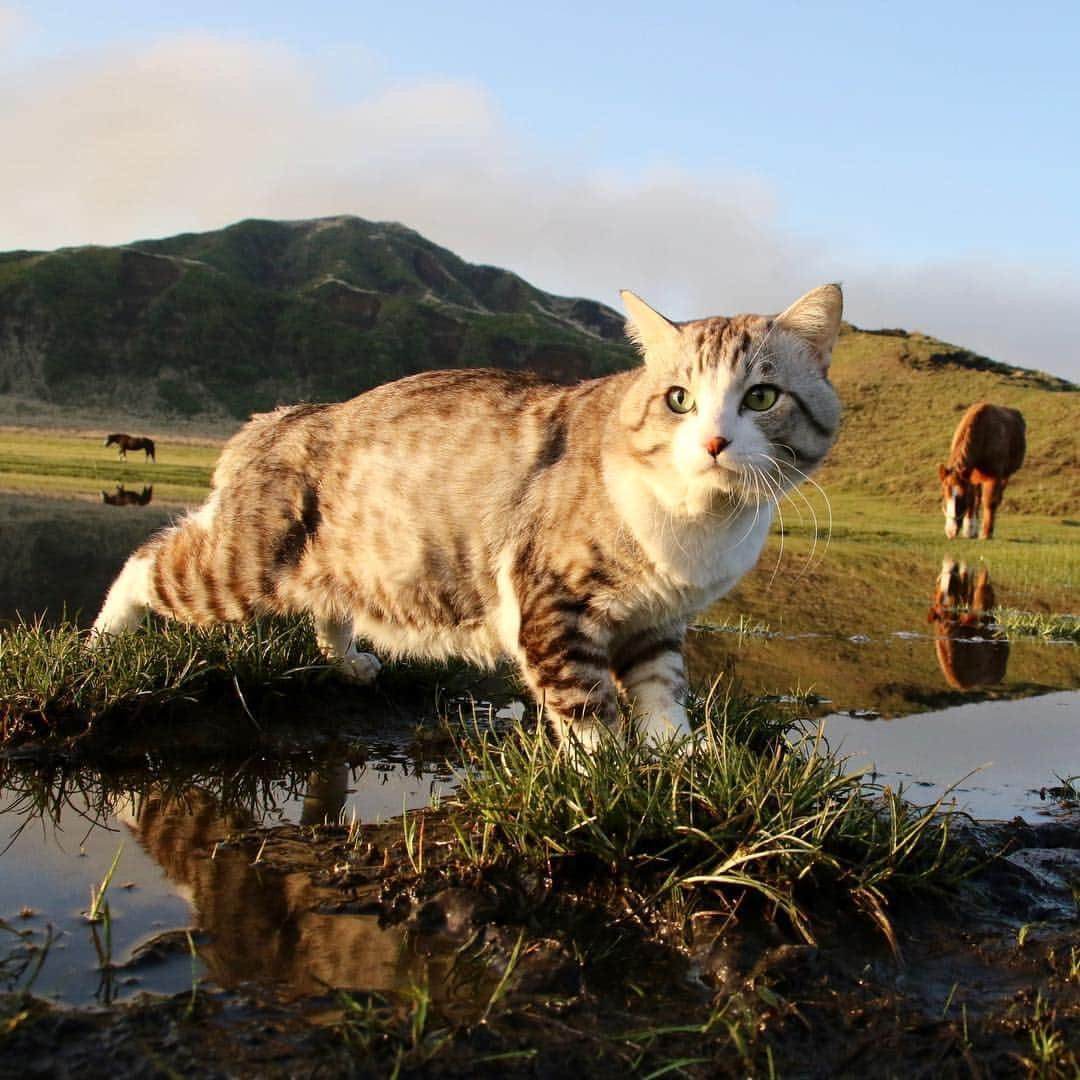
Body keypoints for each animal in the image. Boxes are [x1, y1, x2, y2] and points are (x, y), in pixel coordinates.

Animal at [92, 282, 842, 747]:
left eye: (762, 396)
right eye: (680, 399)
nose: (714, 442)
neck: (701, 528)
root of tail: (278, 416)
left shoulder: (657, 621)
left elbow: (662, 700)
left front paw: (681, 763)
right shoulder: (553, 605)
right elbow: (587, 712)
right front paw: (611, 778)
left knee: (328, 607)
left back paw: (351, 662)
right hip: (240, 569)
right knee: (145, 562)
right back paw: (101, 642)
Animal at [941, 401, 1023, 540]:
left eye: (961, 496)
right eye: (944, 494)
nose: (951, 532)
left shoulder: (994, 477)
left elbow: (989, 502)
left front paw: (986, 533)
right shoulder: (970, 477)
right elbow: (973, 500)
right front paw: (969, 530)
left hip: (1004, 476)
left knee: (995, 500)